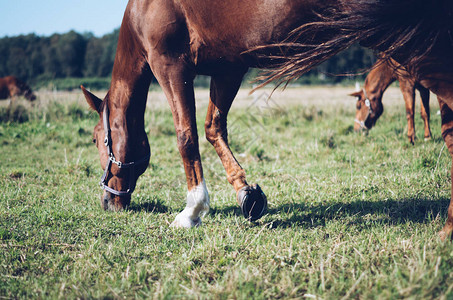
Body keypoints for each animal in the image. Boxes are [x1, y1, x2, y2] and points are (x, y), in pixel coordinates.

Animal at [81, 0, 452, 238]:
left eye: (99, 139)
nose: (107, 202)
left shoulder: (170, 65)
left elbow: (186, 135)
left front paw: (193, 210)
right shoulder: (228, 68)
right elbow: (214, 128)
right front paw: (247, 194)